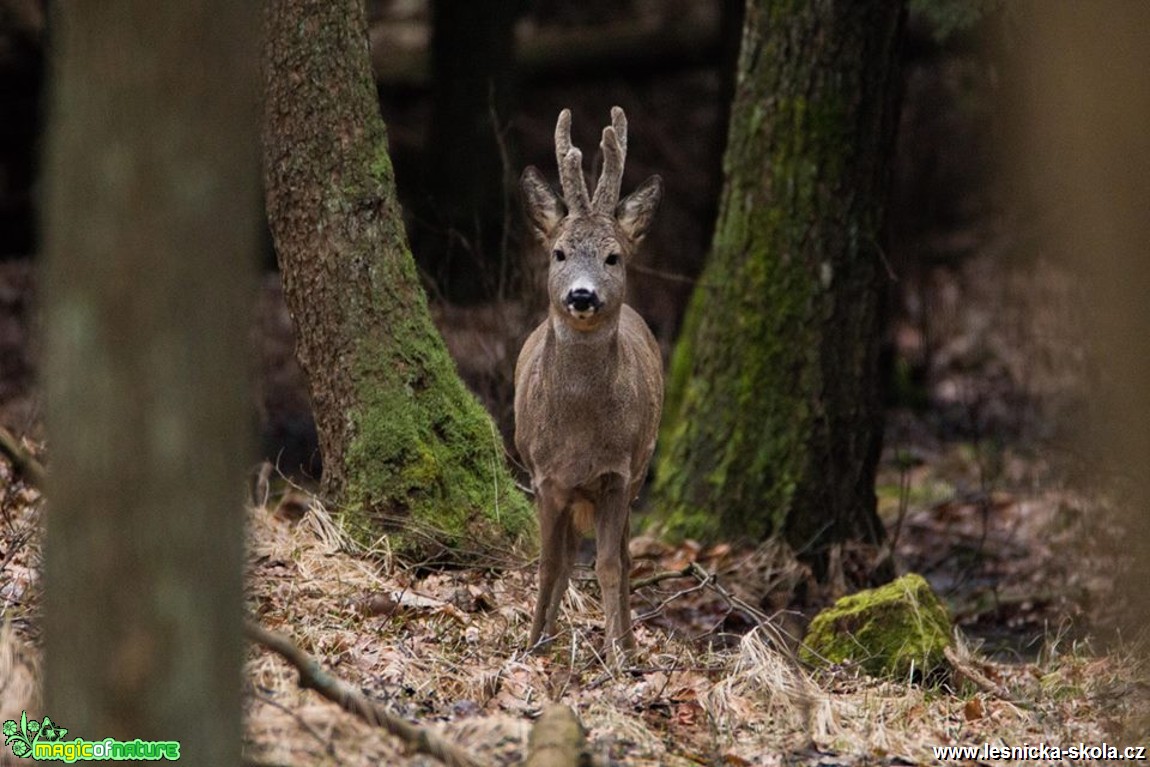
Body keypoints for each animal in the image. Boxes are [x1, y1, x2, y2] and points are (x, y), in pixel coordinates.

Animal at [515, 108, 667, 657]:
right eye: (559, 253)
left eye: (613, 256)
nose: (582, 296)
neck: (580, 434)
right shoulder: (544, 476)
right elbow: (548, 564)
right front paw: (534, 641)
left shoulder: (618, 475)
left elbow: (609, 565)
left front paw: (619, 653)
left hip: (640, 468)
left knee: (624, 558)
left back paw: (628, 641)